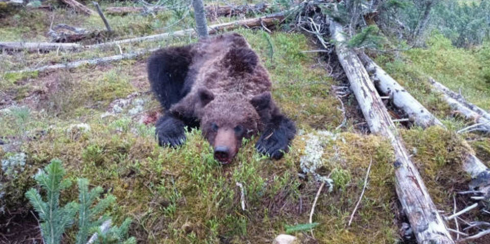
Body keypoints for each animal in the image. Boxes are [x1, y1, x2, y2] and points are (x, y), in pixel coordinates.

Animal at [147, 31, 296, 163]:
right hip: (186, 59)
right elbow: (175, 113)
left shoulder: (265, 101)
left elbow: (281, 121)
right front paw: (174, 138)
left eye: (239, 127)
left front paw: (269, 146)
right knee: (162, 63)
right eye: (214, 125)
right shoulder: (196, 101)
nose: (222, 151)